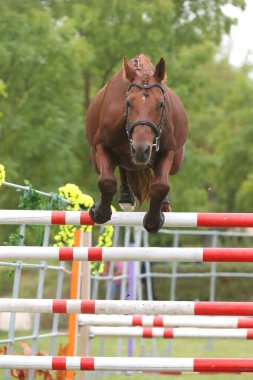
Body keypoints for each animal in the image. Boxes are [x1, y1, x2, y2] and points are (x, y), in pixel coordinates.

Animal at [85, 53, 188, 232]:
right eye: (128, 103)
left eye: (161, 104)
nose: (141, 150)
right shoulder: (101, 145)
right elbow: (107, 181)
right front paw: (100, 212)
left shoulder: (168, 149)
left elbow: (161, 185)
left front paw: (153, 219)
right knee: (122, 166)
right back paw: (126, 196)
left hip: (176, 162)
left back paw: (163, 203)